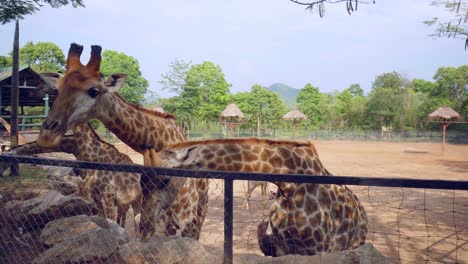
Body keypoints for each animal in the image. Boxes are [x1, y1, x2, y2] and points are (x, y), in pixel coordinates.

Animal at [37, 43, 209, 241]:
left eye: (94, 91)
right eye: (57, 89)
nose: (47, 134)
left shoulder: (183, 218)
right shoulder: (153, 217)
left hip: (198, 213)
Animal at [141, 138, 368, 256]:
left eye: (164, 181)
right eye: (141, 182)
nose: (143, 229)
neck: (291, 185)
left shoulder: (318, 249)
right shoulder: (282, 247)